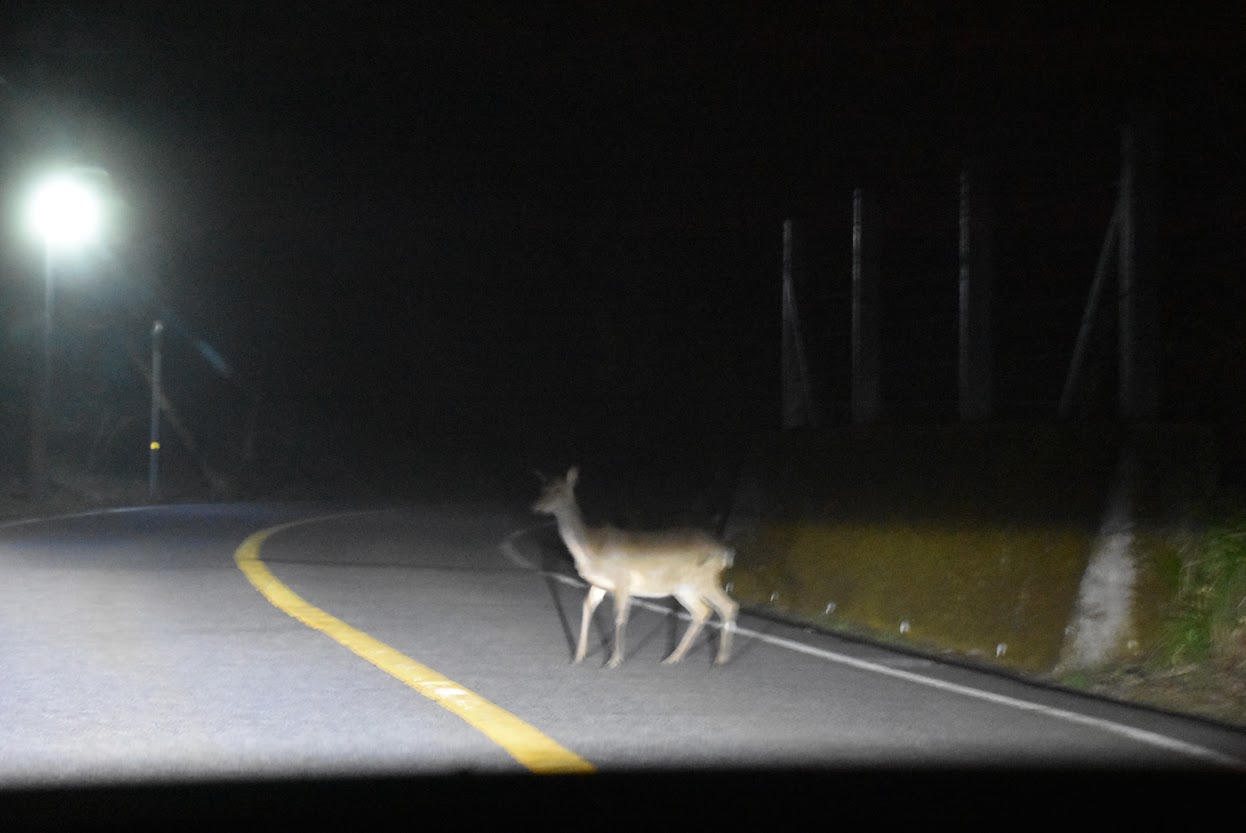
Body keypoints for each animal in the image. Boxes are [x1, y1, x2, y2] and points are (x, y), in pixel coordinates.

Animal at [528, 468, 737, 667]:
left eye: (558, 490)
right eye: (543, 488)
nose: (535, 507)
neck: (591, 548)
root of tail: (726, 553)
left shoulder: (622, 580)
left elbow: (619, 616)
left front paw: (614, 661)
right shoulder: (600, 584)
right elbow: (587, 607)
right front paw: (578, 657)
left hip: (703, 580)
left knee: (727, 606)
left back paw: (719, 659)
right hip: (684, 588)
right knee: (703, 611)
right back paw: (674, 658)